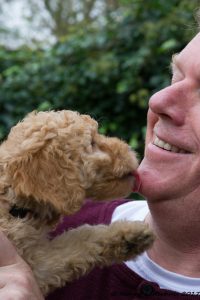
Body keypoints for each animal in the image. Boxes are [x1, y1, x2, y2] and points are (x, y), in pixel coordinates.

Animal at [0, 110, 155, 296]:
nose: (131, 149)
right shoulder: (36, 265)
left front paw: (128, 239)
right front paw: (130, 233)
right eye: (92, 142)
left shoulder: (39, 266)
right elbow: (80, 237)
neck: (14, 205)